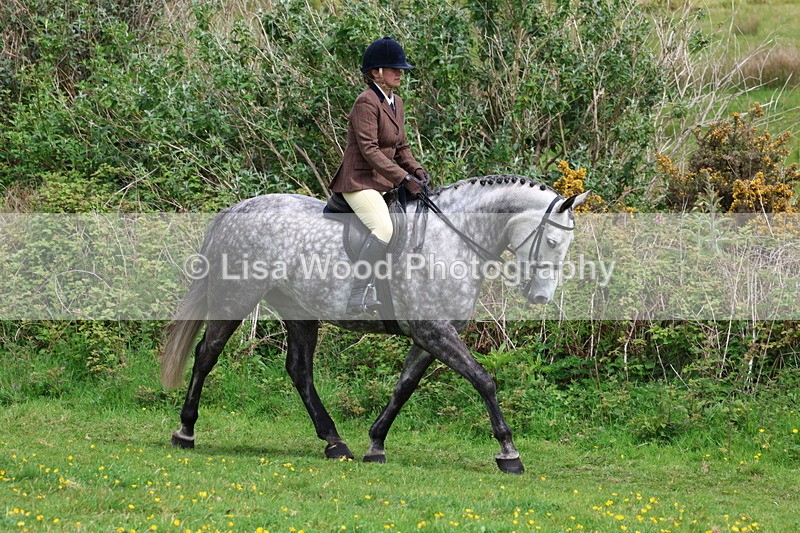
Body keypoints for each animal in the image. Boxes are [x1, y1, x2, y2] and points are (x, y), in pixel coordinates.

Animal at [160, 175, 589, 474]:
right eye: (553, 242)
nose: (540, 298)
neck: (453, 239)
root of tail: (237, 210)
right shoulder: (434, 330)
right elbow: (483, 380)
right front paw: (509, 452)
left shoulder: (430, 336)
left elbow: (404, 388)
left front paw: (376, 444)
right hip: (236, 297)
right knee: (206, 354)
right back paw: (185, 431)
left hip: (298, 310)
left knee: (299, 370)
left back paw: (335, 443)